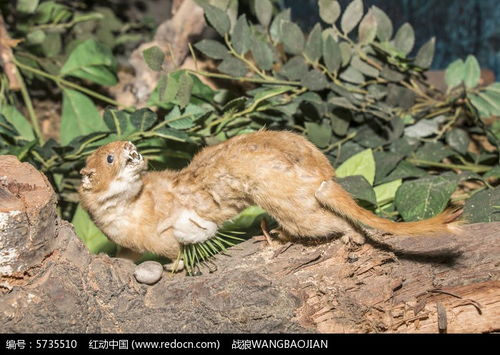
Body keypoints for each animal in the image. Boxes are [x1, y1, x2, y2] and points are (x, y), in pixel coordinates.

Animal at [78, 131, 460, 262]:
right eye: (109, 156)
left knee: (330, 221)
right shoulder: (126, 240)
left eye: (121, 147)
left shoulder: (167, 224)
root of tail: (322, 173)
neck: (129, 213)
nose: (130, 145)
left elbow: (177, 247)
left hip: (286, 203)